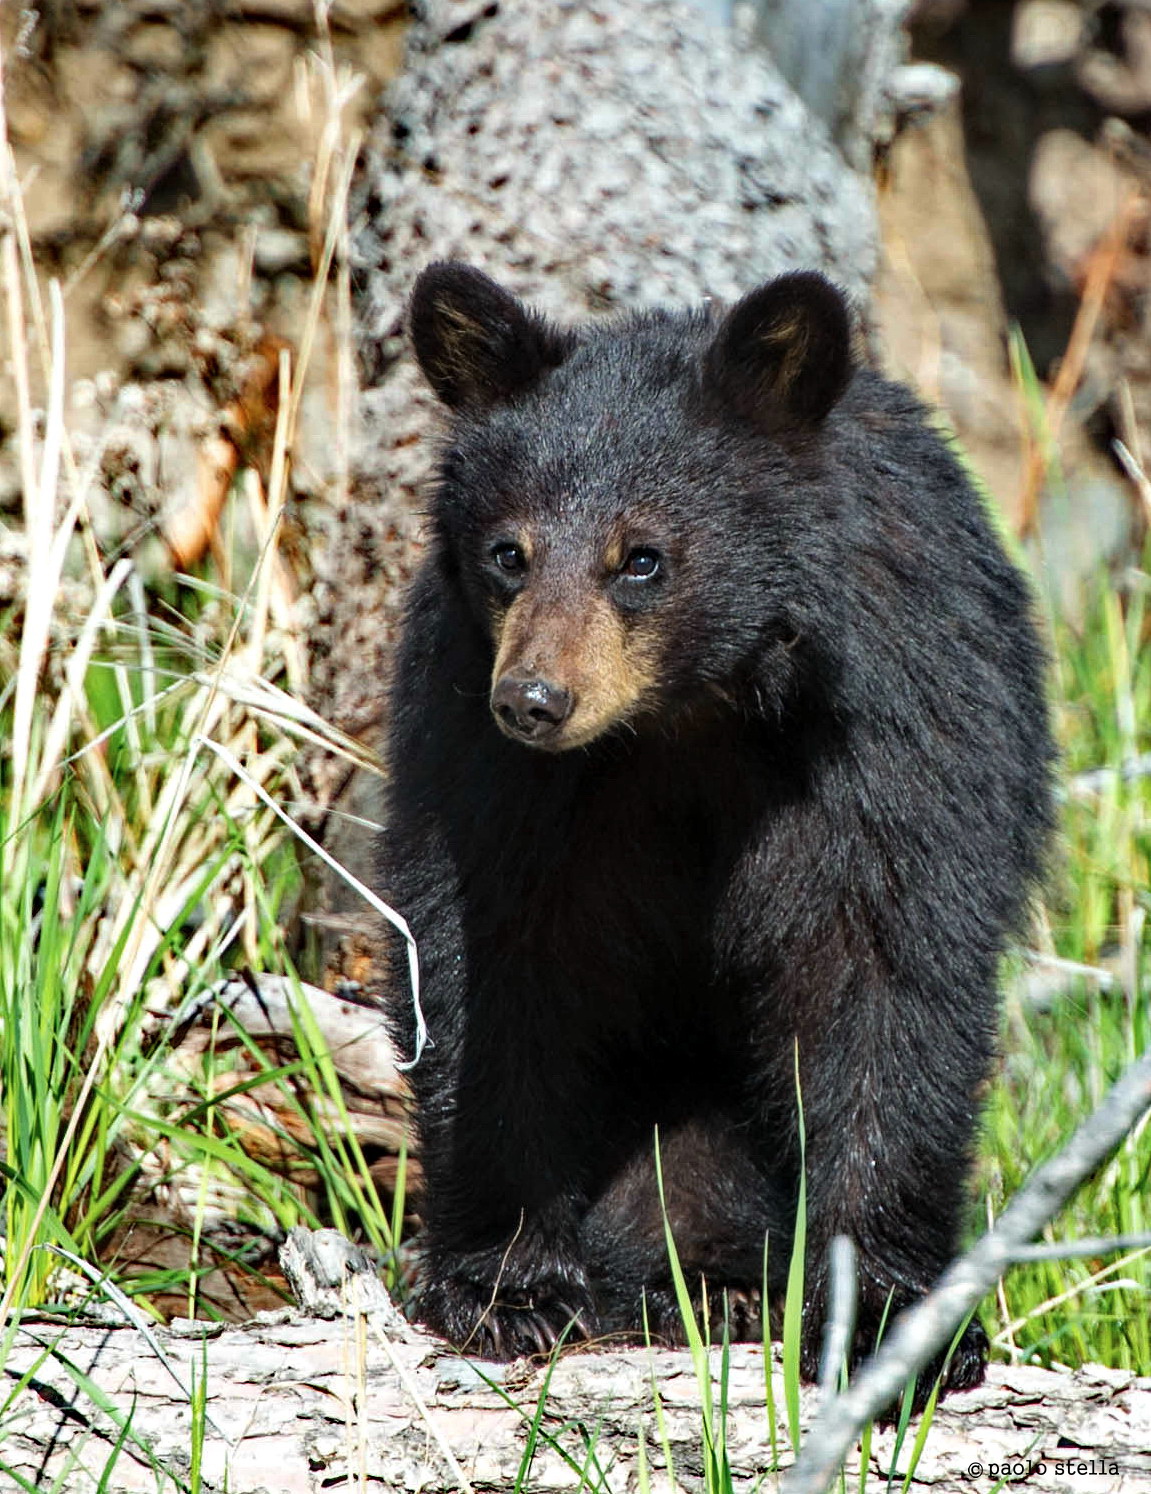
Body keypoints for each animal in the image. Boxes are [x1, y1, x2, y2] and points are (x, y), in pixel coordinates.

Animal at [378, 261, 1054, 1394]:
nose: (532, 700)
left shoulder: (896, 724)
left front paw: (879, 1316)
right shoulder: (480, 755)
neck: (688, 717)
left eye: (641, 558)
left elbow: (890, 969)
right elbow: (488, 963)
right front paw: (508, 1287)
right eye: (508, 553)